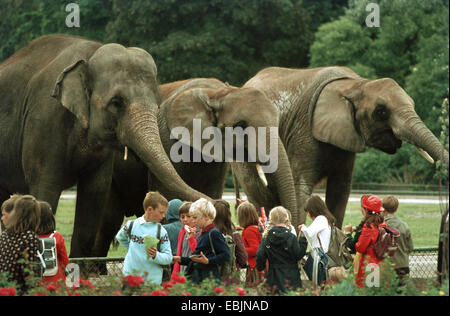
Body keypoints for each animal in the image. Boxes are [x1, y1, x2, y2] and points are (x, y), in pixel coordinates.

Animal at [0, 34, 207, 258]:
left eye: (157, 104)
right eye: (116, 102)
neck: (90, 54)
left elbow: (95, 194)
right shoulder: (44, 120)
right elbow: (46, 187)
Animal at [92, 78, 298, 258]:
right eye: (240, 126)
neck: (218, 93)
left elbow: (211, 189)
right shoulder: (168, 139)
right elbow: (166, 194)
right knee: (108, 222)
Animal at [232, 66, 450, 228]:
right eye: (381, 112)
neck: (354, 84)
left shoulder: (345, 138)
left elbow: (341, 189)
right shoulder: (304, 131)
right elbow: (300, 186)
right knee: (259, 192)